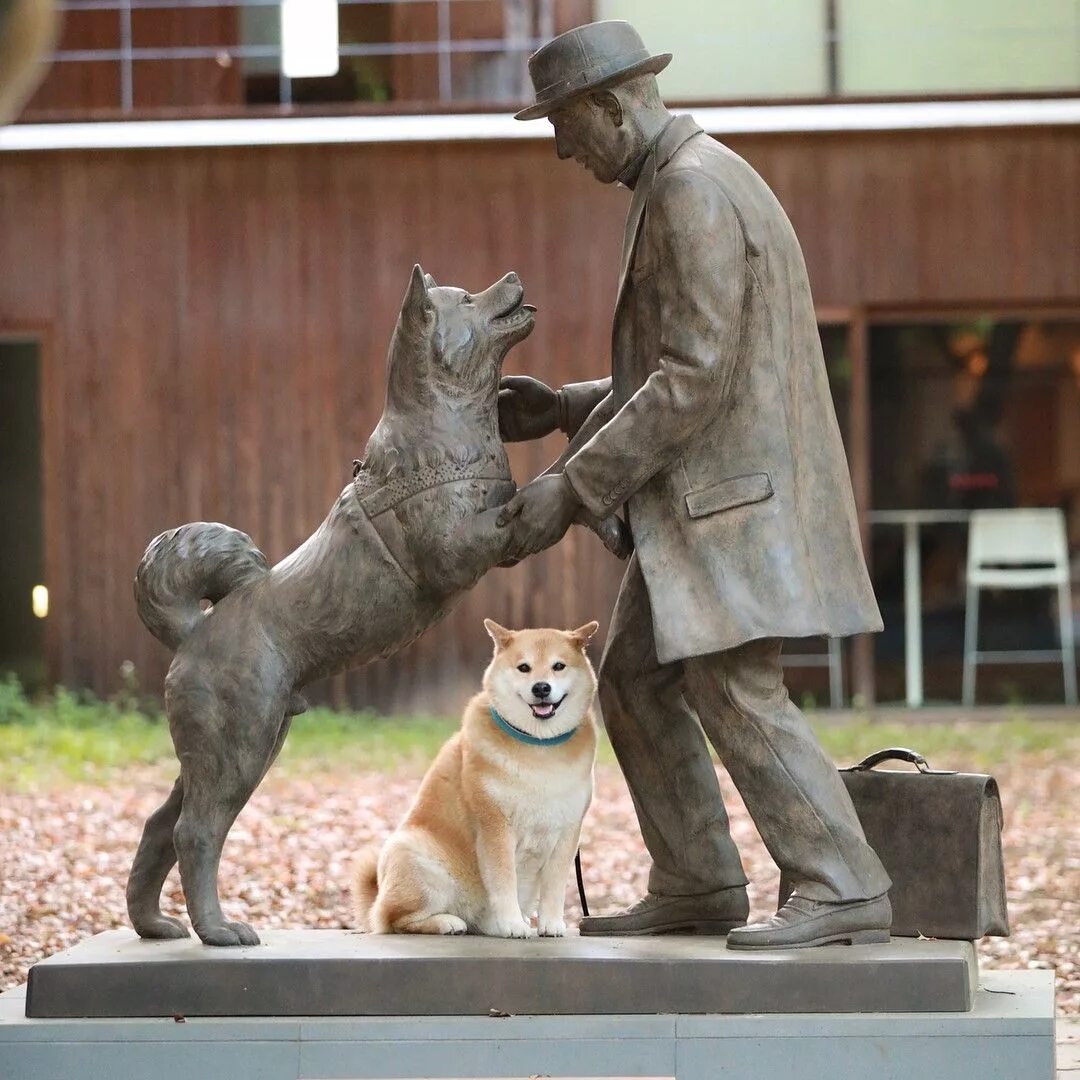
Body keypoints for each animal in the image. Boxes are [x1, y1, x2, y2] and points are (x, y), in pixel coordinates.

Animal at [352, 622, 600, 941]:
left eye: (559, 666)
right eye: (524, 667)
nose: (541, 687)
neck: (538, 745)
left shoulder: (568, 830)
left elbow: (555, 886)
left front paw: (551, 924)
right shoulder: (495, 826)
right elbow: (504, 881)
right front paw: (513, 925)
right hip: (418, 861)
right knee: (395, 920)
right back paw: (447, 922)